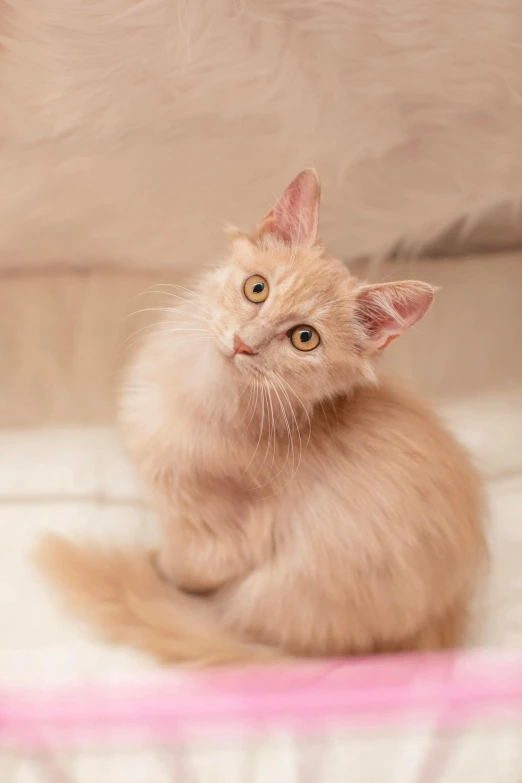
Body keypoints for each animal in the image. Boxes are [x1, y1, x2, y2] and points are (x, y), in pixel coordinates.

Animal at [37, 170, 488, 660]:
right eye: (257, 288)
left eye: (305, 338)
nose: (244, 343)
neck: (200, 389)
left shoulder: (215, 531)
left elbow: (187, 567)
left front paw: (159, 568)